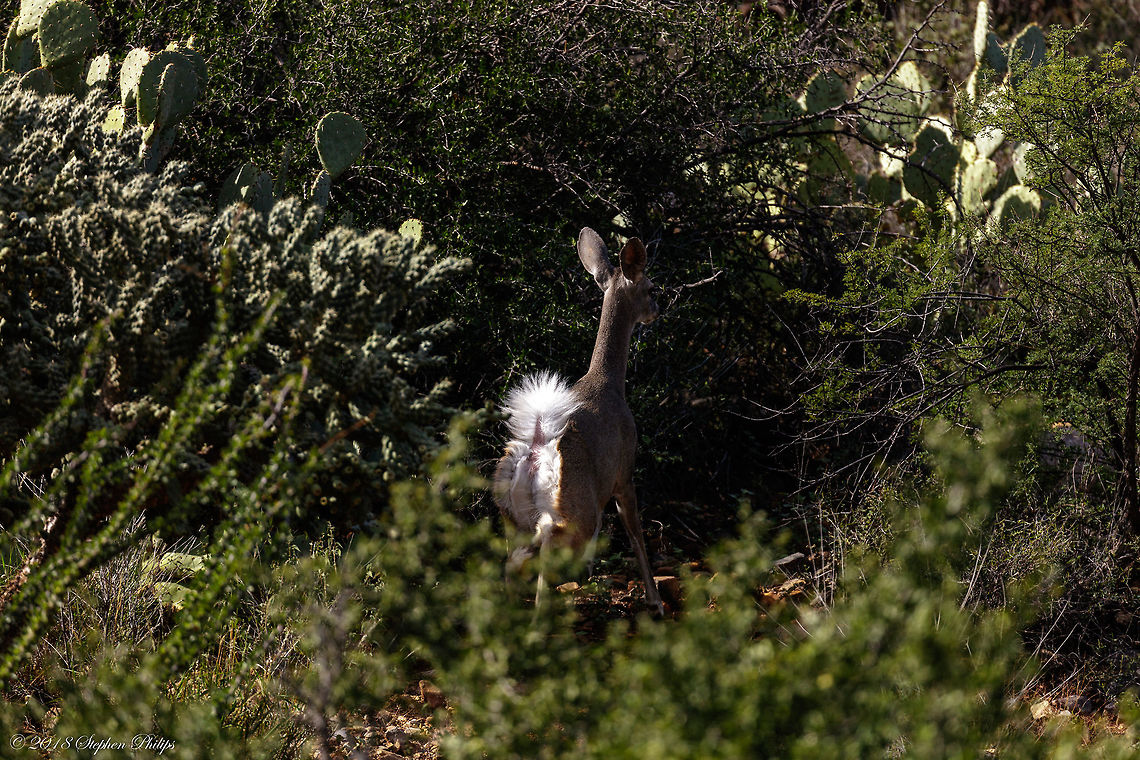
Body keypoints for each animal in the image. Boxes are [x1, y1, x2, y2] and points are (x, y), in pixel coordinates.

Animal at [492, 227, 665, 616]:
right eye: (651, 288)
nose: (656, 311)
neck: (608, 381)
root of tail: (536, 449)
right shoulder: (624, 473)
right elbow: (636, 533)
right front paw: (654, 600)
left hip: (511, 513)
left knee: (515, 560)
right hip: (574, 510)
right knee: (543, 554)